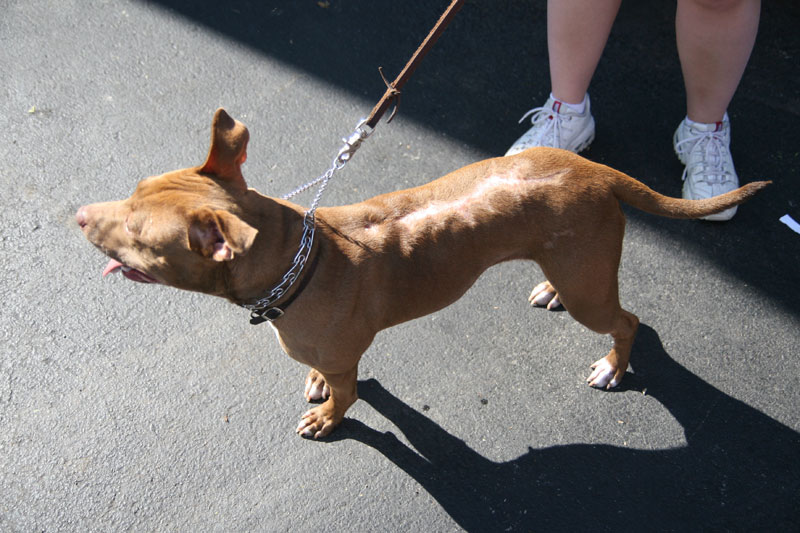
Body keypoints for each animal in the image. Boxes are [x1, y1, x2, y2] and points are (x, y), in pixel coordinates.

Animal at [76, 108, 768, 436]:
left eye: (138, 236)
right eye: (132, 189)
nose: (78, 215)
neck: (301, 262)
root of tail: (595, 170)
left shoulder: (349, 360)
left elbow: (351, 397)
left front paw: (330, 420)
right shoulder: (330, 351)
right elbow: (328, 375)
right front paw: (317, 385)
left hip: (593, 292)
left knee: (628, 321)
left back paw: (613, 367)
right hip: (578, 267)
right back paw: (549, 290)